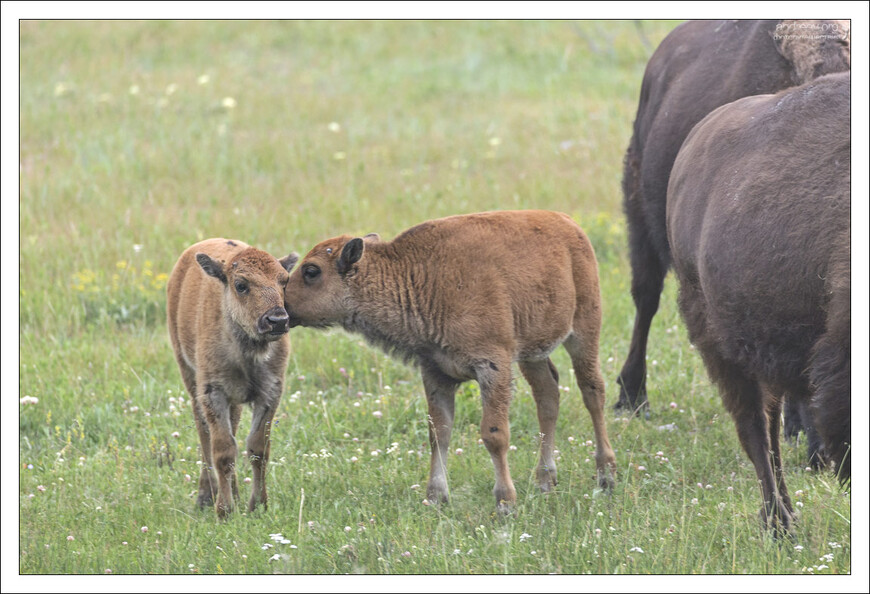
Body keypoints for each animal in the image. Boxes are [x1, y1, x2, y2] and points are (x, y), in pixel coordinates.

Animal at [167, 238, 300, 516]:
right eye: (241, 285)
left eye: (284, 281)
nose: (278, 320)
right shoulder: (213, 392)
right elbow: (223, 451)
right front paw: (224, 511)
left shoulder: (270, 393)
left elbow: (257, 449)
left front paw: (258, 505)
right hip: (189, 376)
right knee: (204, 435)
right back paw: (206, 496)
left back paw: (236, 494)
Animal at [282, 210, 616, 512]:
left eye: (311, 271)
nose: (282, 306)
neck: (419, 276)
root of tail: (568, 224)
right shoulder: (436, 372)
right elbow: (439, 433)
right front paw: (435, 497)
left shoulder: (493, 367)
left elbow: (494, 434)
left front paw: (505, 502)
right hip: (533, 352)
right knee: (548, 396)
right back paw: (546, 480)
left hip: (584, 331)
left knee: (592, 391)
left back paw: (606, 476)